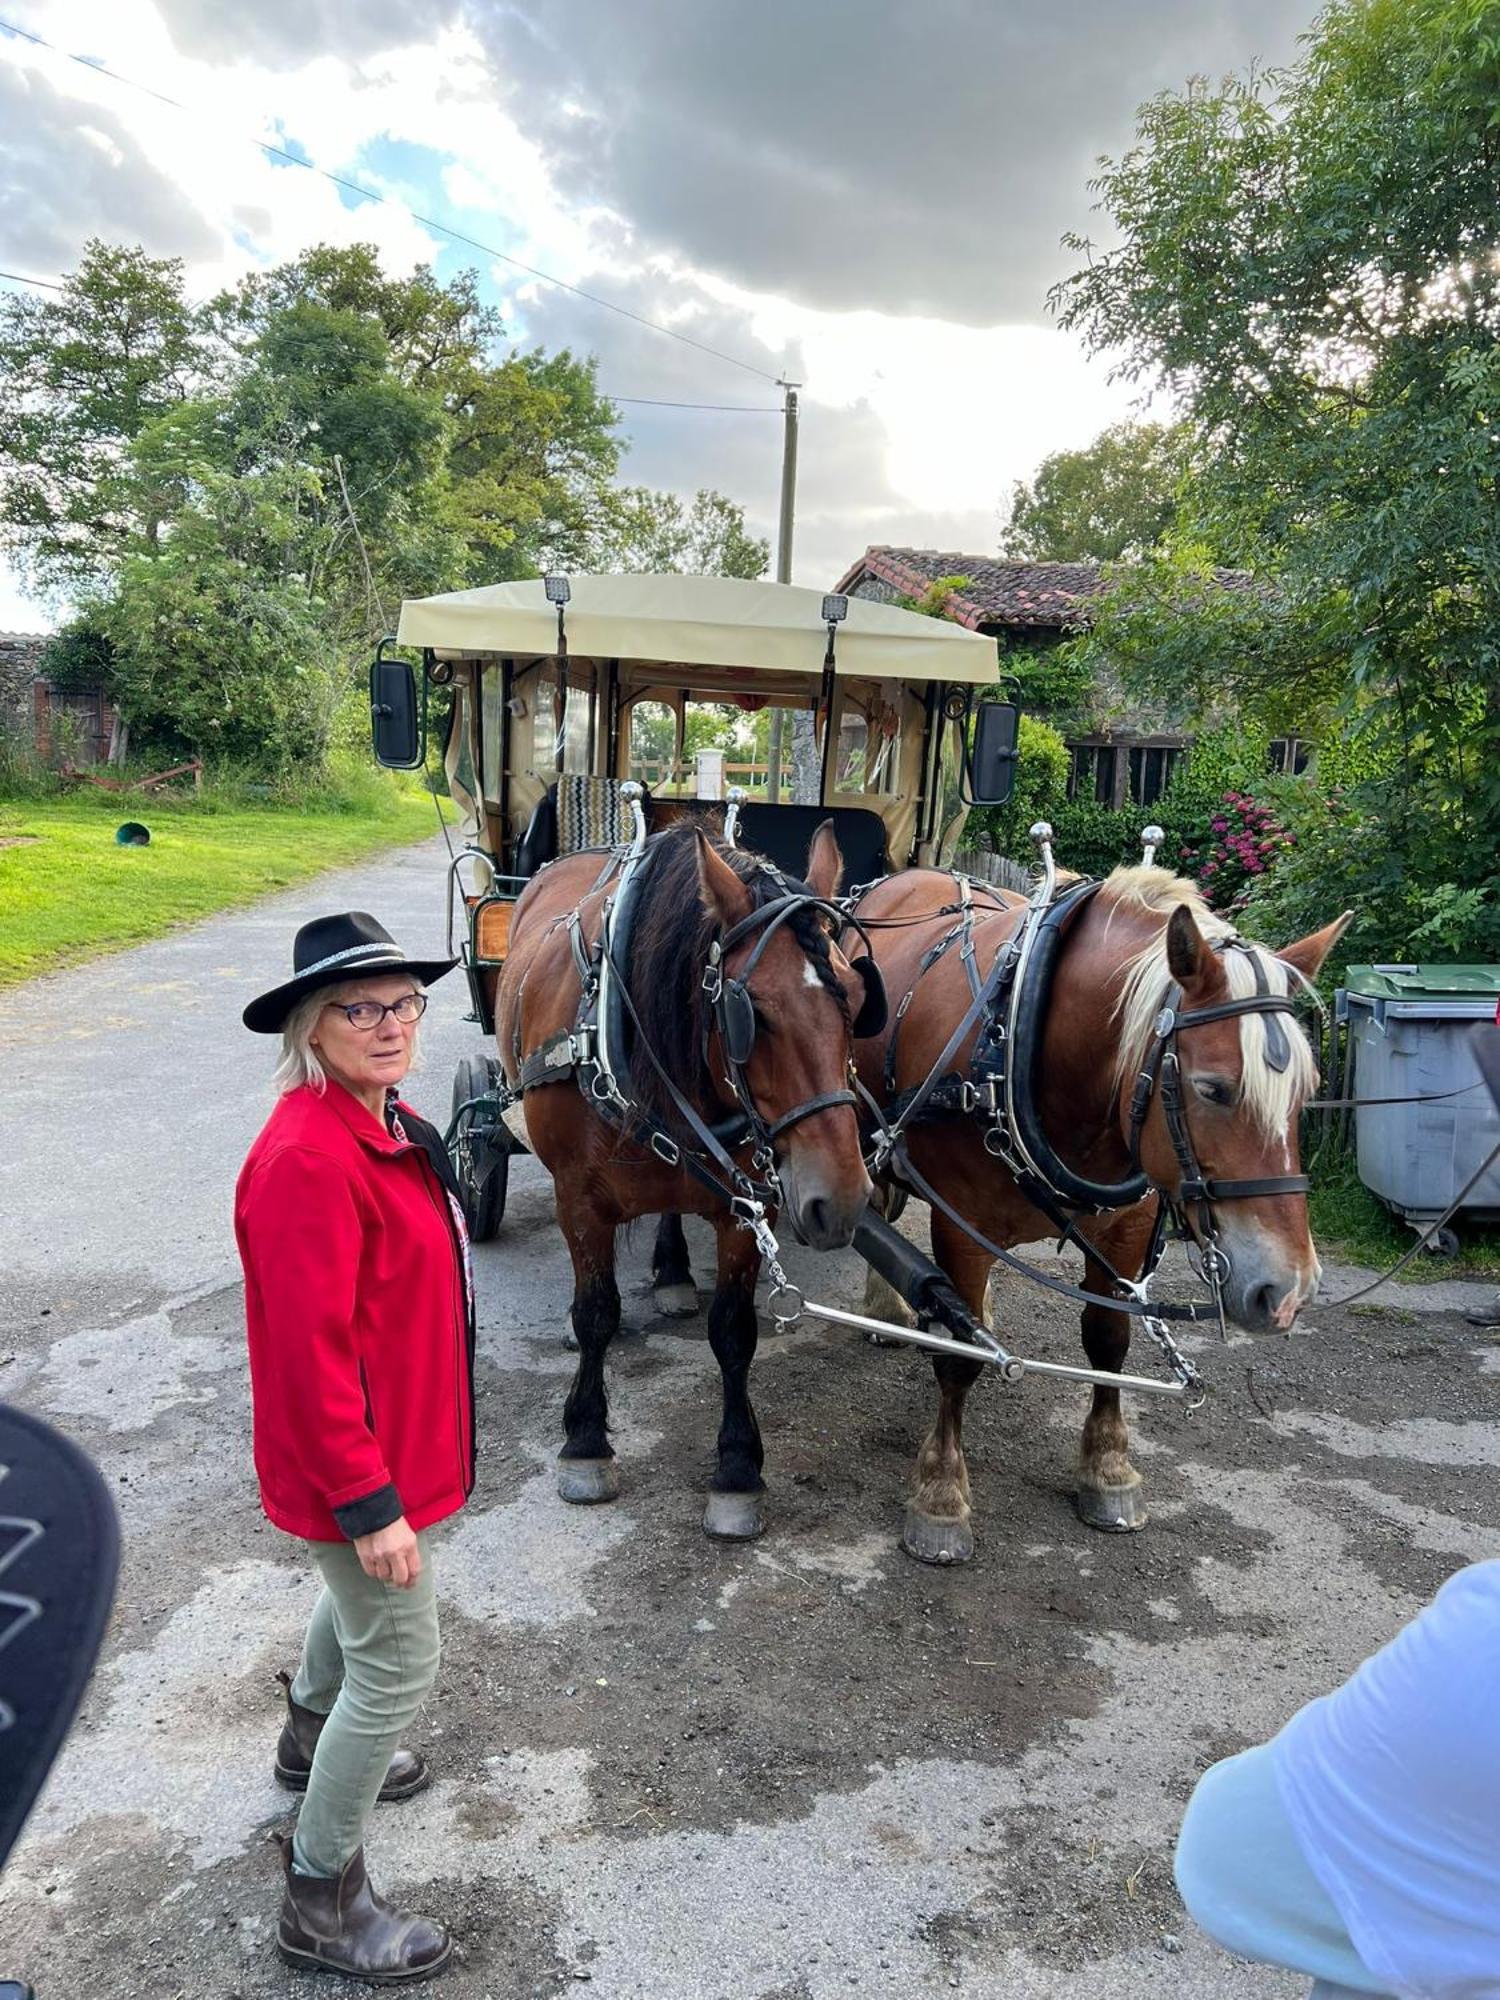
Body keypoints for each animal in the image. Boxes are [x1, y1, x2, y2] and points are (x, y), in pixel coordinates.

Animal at [500, 820, 876, 1536]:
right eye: (750, 1010)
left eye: (861, 998)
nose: (840, 1201)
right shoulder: (578, 1201)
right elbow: (596, 1313)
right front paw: (585, 1443)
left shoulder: (746, 1205)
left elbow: (733, 1331)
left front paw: (736, 1469)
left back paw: (673, 1272)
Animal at [852, 860, 1360, 1560]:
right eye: (1213, 1089)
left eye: (1307, 1092)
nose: (1288, 1292)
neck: (1019, 1045)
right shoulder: (961, 1223)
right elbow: (958, 1360)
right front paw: (940, 1493)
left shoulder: (1127, 1229)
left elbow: (1108, 1342)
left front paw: (1108, 1467)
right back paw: (887, 1308)